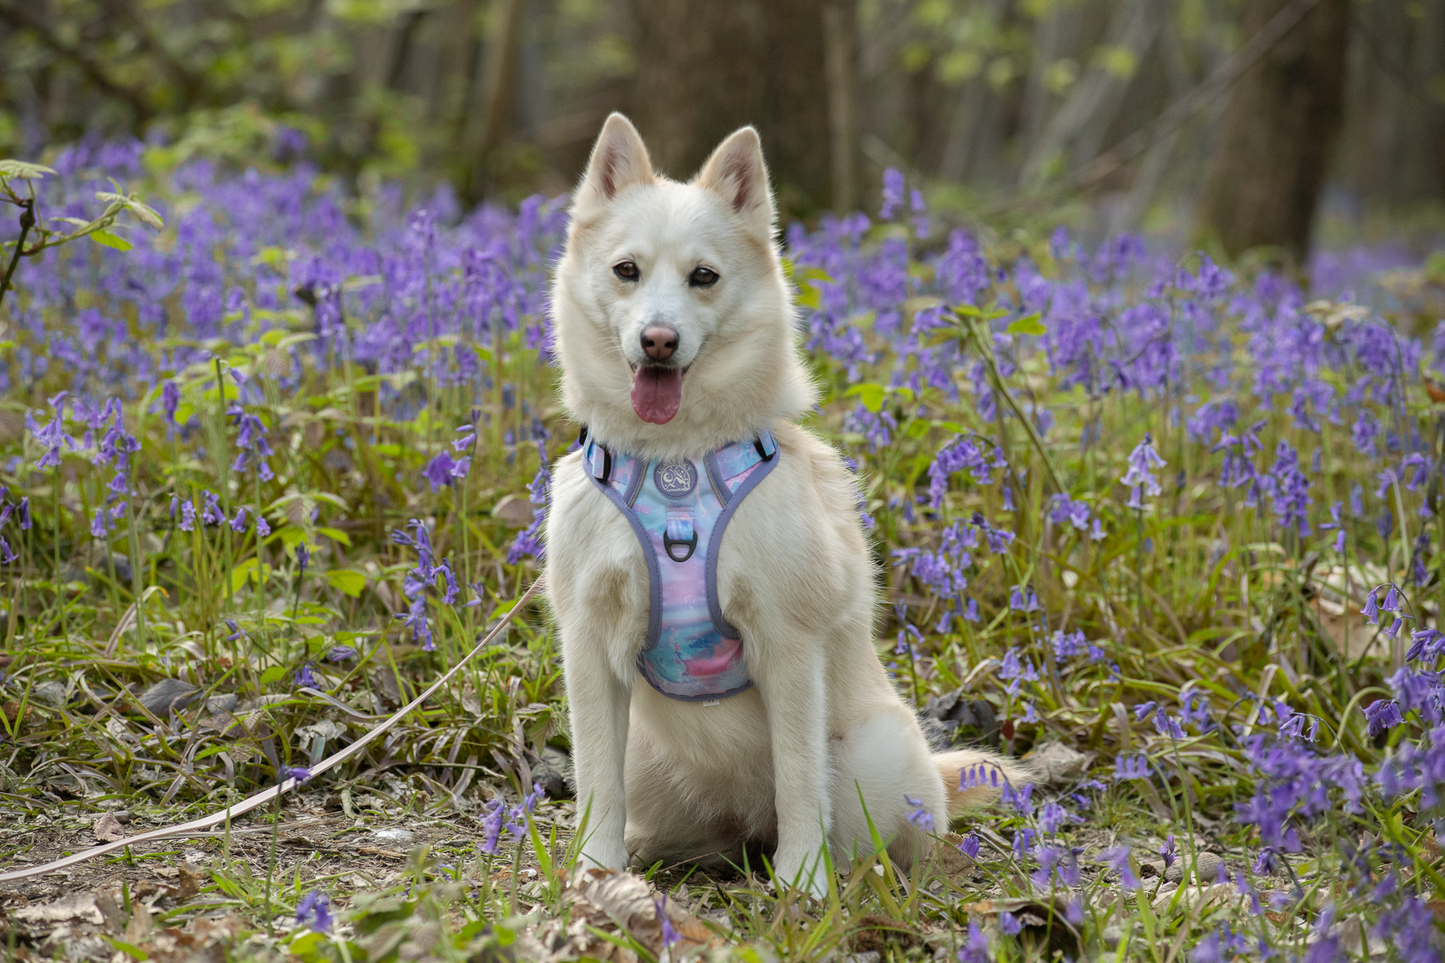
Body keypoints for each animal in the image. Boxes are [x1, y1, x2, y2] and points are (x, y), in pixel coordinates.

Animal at [543, 114, 1017, 890]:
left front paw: (801, 883)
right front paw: (595, 872)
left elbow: (799, 779)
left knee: (874, 831)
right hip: (652, 761)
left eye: (703, 277)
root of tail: (743, 821)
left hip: (872, 756)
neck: (677, 466)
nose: (658, 341)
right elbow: (594, 781)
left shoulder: (787, 645)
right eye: (626, 270)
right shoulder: (588, 643)